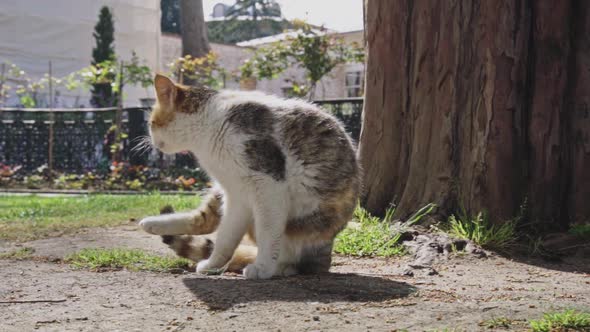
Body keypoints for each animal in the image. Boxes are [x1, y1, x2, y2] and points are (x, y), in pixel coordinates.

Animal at [139, 74, 360, 278]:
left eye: (151, 123)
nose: (150, 140)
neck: (211, 124)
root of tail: (325, 253)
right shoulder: (236, 195)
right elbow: (226, 237)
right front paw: (213, 264)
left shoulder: (268, 184)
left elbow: (267, 232)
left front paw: (262, 267)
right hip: (222, 193)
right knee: (204, 221)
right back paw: (153, 224)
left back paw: (279, 268)